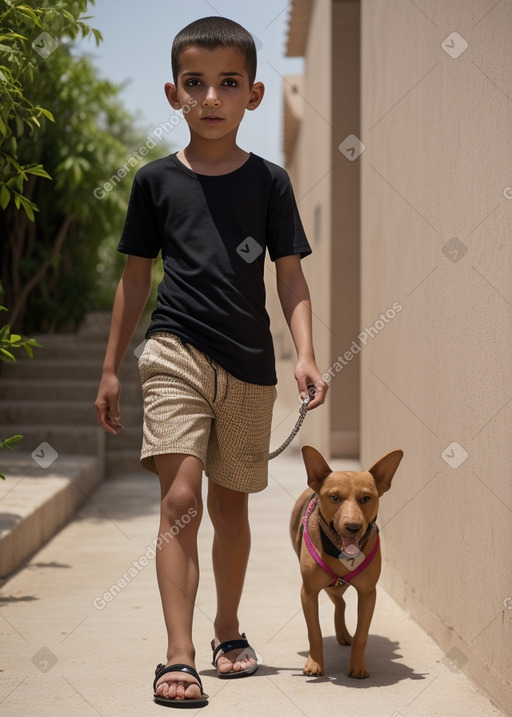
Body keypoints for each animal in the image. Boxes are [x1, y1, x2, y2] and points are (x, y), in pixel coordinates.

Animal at [290, 448, 402, 676]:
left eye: (366, 498)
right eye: (334, 497)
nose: (353, 527)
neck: (339, 550)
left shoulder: (368, 593)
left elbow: (361, 636)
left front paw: (358, 666)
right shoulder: (309, 591)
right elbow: (314, 633)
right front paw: (314, 663)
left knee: (340, 602)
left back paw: (343, 634)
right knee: (338, 600)